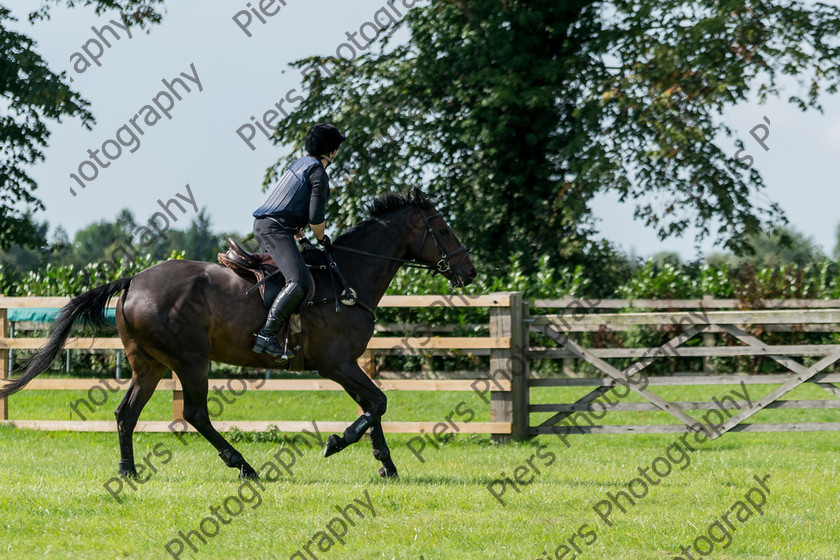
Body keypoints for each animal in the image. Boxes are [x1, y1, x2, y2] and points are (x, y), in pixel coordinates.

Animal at [0, 190, 472, 480]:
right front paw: (338, 443)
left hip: (148, 365)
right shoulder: (336, 363)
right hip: (192, 360)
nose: (469, 272)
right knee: (194, 414)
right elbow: (377, 403)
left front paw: (385, 465)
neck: (348, 277)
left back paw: (128, 471)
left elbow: (373, 406)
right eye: (443, 230)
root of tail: (133, 279)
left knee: (125, 413)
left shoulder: (348, 365)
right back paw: (242, 465)